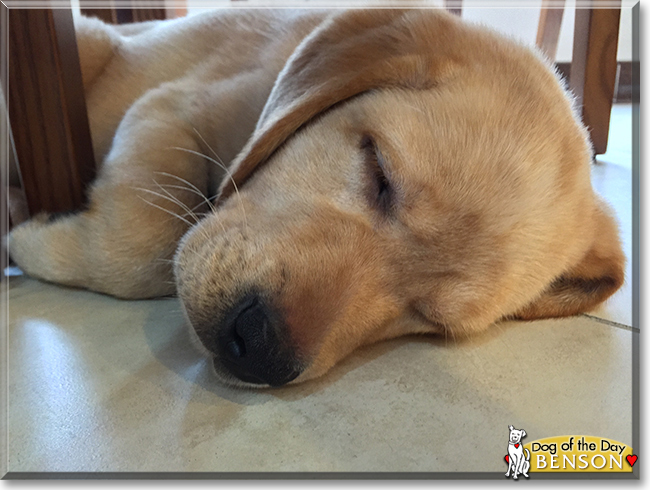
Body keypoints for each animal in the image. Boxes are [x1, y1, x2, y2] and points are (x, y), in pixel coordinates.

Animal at [6, 8, 624, 386]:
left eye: (429, 318)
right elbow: (141, 247)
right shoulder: (170, 105)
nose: (259, 350)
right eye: (379, 172)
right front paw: (30, 241)